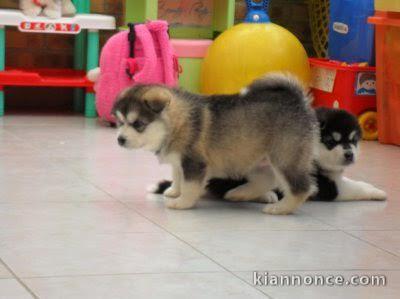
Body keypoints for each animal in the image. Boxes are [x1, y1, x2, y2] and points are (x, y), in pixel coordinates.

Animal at [112, 75, 318, 216]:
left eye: (138, 124)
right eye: (120, 122)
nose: (120, 139)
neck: (178, 121)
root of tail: (299, 101)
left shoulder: (194, 162)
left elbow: (190, 185)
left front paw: (182, 202)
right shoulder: (180, 161)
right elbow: (177, 176)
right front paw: (174, 191)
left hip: (285, 157)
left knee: (301, 187)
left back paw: (280, 208)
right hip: (252, 160)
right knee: (266, 180)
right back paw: (238, 193)